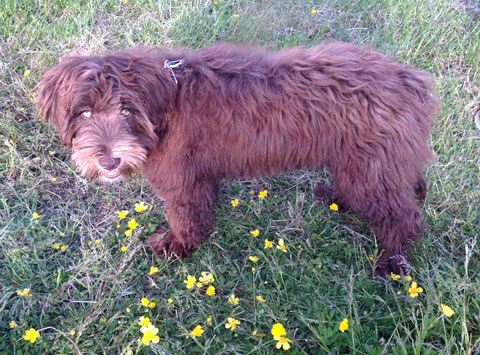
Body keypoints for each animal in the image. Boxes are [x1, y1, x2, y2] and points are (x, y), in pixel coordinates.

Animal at [36, 41, 438, 276]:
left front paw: (177, 247)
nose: (109, 162)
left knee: (403, 216)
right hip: (367, 163)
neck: (167, 102)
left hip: (371, 166)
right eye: (84, 113)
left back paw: (392, 264)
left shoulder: (182, 180)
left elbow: (186, 215)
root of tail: (411, 81)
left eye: (125, 110)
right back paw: (338, 199)